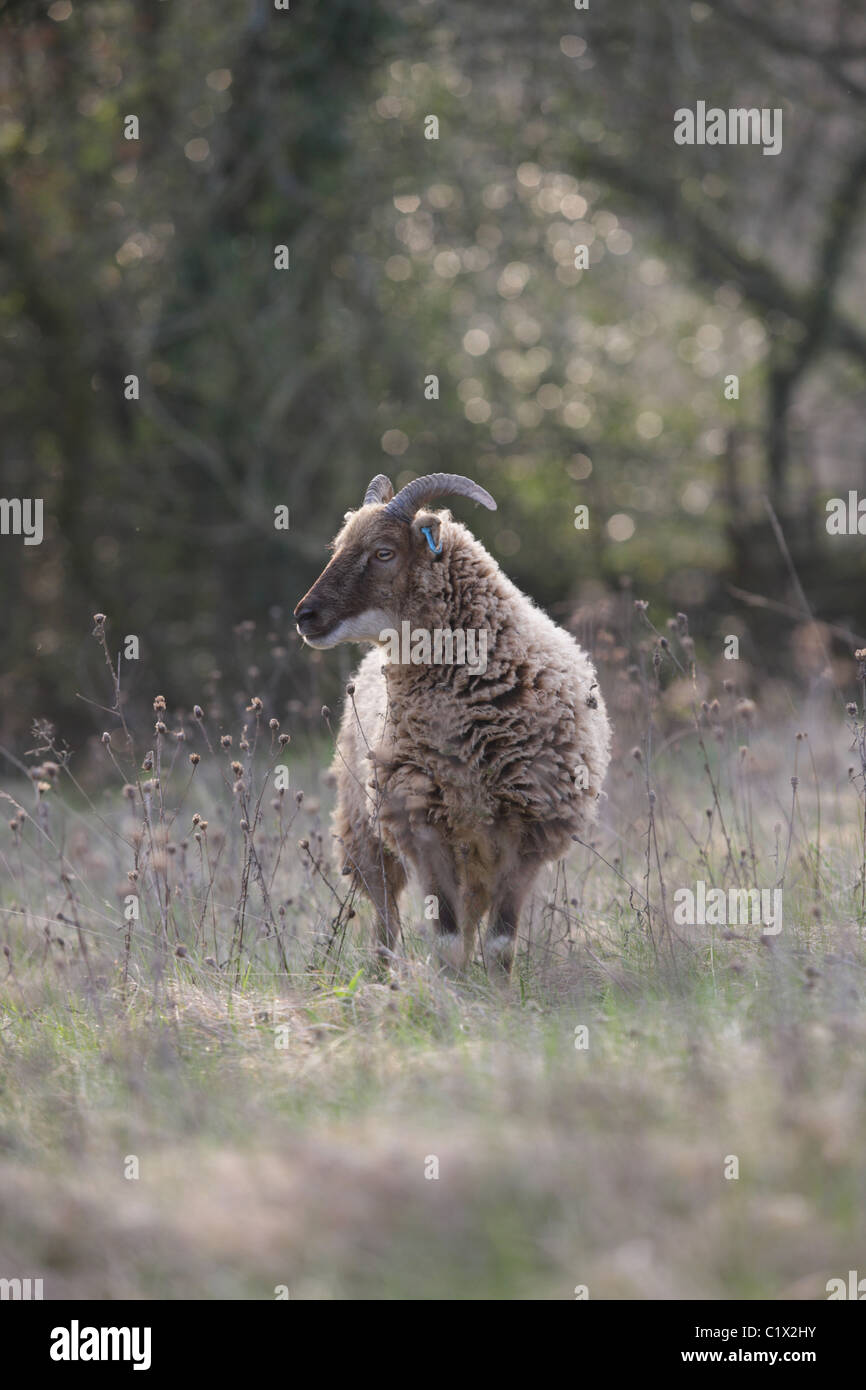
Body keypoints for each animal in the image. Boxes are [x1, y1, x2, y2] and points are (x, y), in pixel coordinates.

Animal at [294, 472, 611, 982]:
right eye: (338, 546)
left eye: (383, 552)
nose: (305, 616)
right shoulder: (422, 826)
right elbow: (446, 938)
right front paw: (452, 993)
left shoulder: (527, 834)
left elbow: (499, 943)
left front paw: (498, 996)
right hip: (366, 834)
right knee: (386, 919)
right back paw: (383, 977)